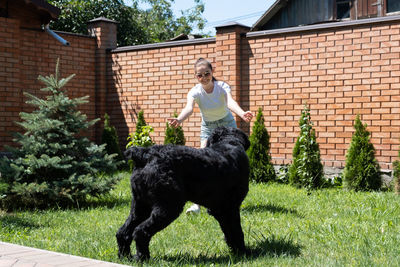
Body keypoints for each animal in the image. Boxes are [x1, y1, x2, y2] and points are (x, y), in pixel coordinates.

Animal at [115, 126, 250, 260]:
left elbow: (228, 231)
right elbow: (236, 230)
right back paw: (142, 257)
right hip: (169, 207)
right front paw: (242, 251)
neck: (228, 141)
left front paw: (234, 250)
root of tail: (145, 154)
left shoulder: (219, 210)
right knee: (140, 231)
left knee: (123, 232)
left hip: (140, 206)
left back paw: (125, 256)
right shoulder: (231, 207)